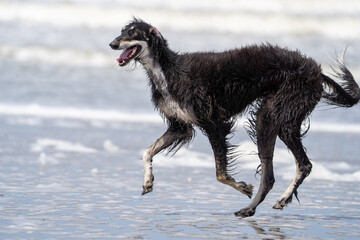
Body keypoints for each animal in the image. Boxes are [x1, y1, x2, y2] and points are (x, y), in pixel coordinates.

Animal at [109, 18, 360, 218]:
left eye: (133, 32)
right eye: (122, 31)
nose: (112, 44)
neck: (168, 71)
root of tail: (317, 71)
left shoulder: (213, 123)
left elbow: (220, 174)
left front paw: (243, 187)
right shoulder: (180, 126)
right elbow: (147, 152)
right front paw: (147, 181)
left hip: (284, 116)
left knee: (304, 164)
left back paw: (278, 200)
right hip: (266, 118)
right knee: (269, 175)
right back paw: (250, 209)